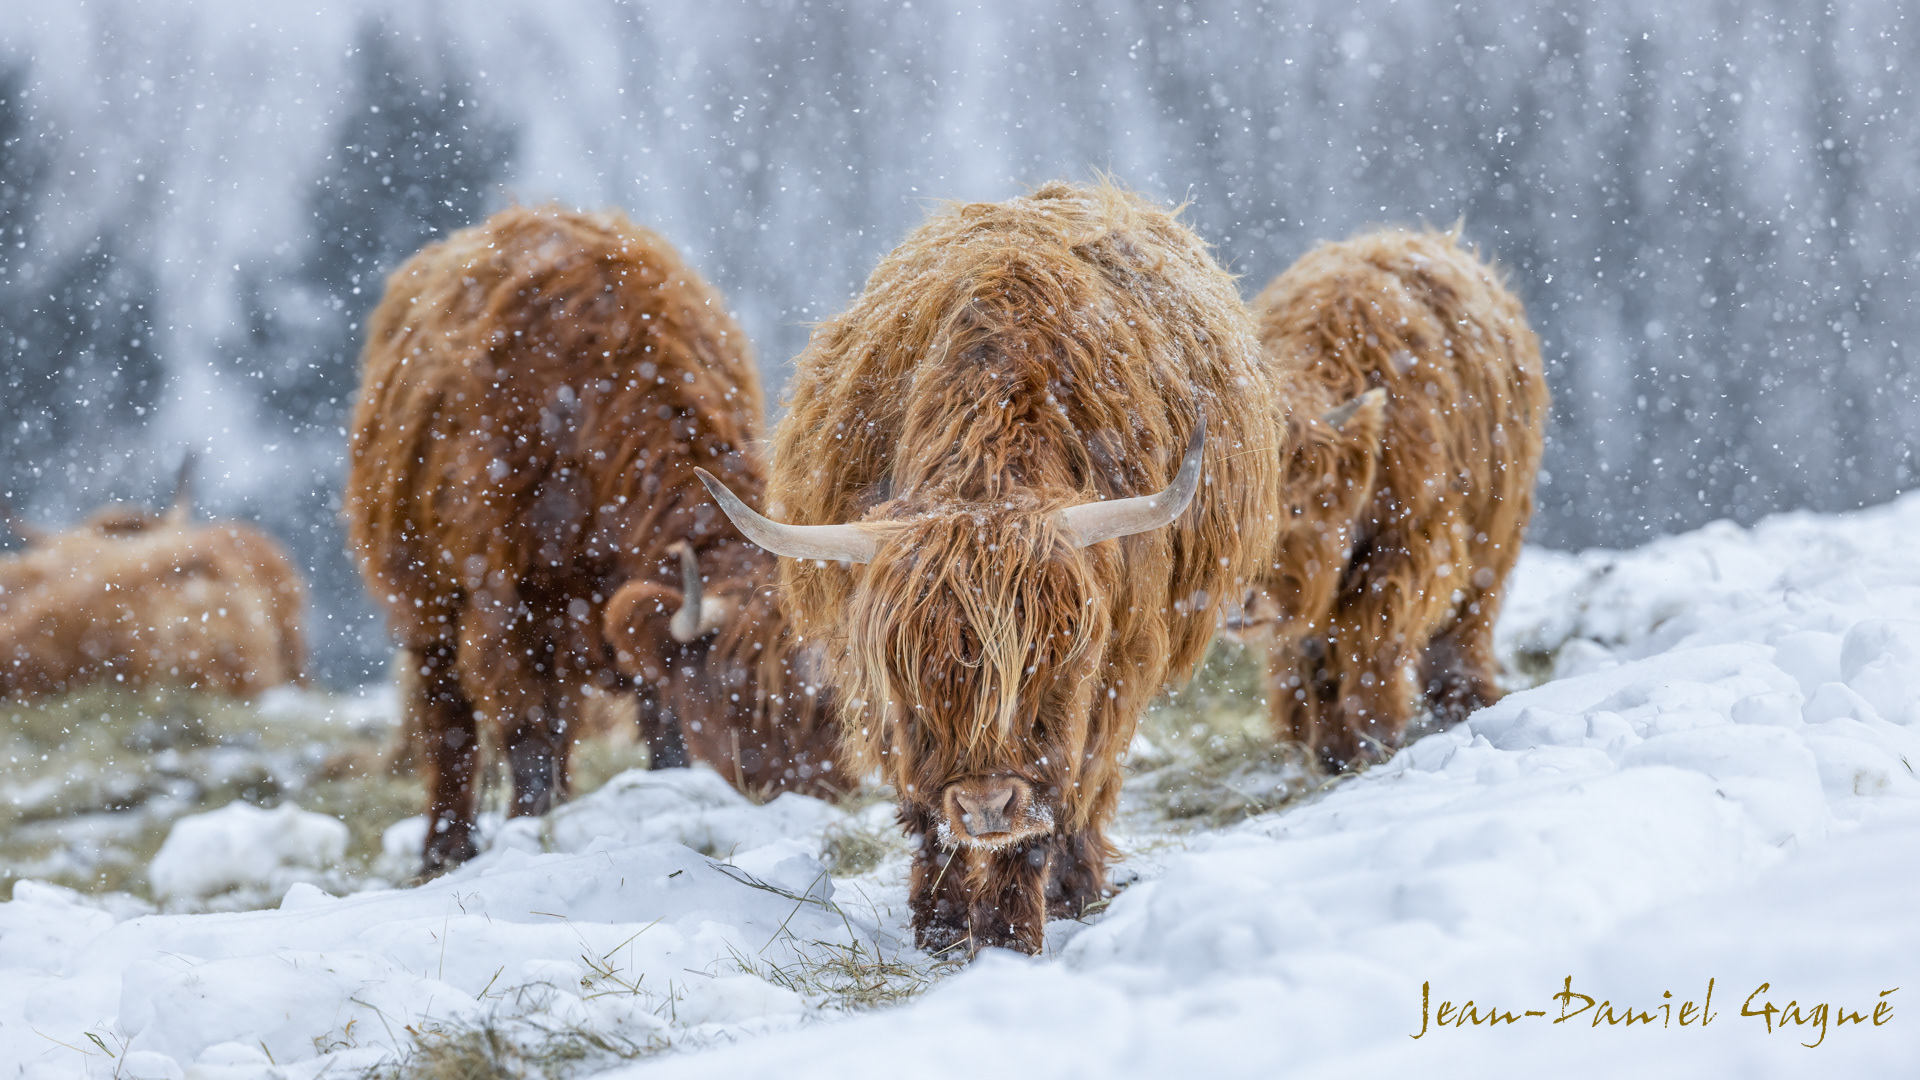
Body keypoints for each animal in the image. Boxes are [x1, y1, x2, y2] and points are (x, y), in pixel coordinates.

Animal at [346, 205, 839, 876]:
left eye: (833, 700)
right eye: (742, 699)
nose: (823, 797)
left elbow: (661, 728)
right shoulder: (504, 607)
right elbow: (524, 730)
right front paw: (525, 834)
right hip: (427, 606)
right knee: (449, 722)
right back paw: (446, 849)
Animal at [695, 181, 1300, 955]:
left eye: (1050, 661)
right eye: (911, 673)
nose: (986, 803)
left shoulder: (1104, 674)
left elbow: (1052, 803)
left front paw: (1013, 934)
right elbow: (927, 815)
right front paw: (942, 927)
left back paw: (1077, 888)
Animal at [1233, 226, 1549, 771]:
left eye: (1294, 508)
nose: (1236, 599)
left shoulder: (1412, 541)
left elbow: (1373, 637)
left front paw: (1370, 737)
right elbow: (1308, 657)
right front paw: (1327, 748)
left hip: (1496, 534)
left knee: (1466, 624)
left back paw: (1467, 700)